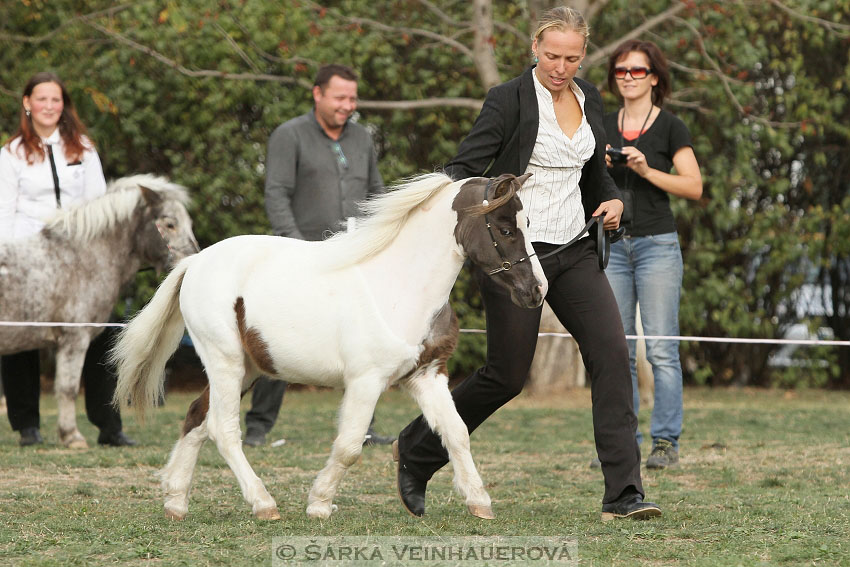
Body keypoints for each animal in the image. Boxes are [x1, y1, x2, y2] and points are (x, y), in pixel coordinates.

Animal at [0, 175, 197, 450]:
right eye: (170, 223)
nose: (194, 259)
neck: (78, 260)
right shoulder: (74, 339)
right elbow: (68, 388)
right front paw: (71, 435)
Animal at [111, 173, 544, 524]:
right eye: (505, 229)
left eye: (525, 224)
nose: (536, 291)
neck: (400, 285)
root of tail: (195, 262)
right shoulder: (366, 381)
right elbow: (350, 446)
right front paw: (319, 504)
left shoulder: (427, 376)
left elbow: (456, 432)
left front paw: (479, 502)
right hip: (225, 361)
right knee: (223, 429)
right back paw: (263, 504)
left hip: (249, 368)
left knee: (196, 417)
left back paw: (175, 502)